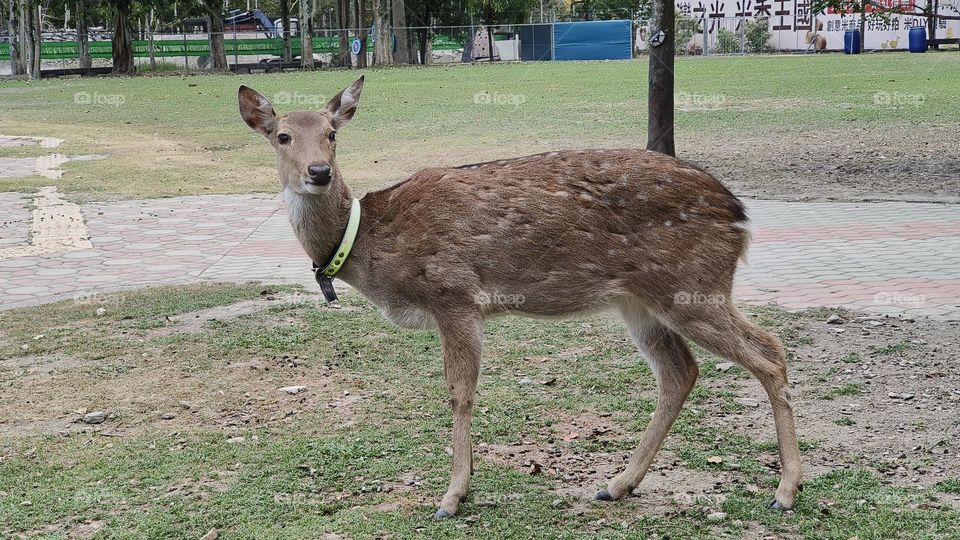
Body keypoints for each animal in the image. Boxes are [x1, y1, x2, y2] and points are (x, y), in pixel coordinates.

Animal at [238, 75, 802, 519]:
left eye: (332, 134)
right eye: (282, 136)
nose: (318, 172)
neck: (370, 243)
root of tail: (740, 214)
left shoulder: (456, 295)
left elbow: (459, 392)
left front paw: (452, 497)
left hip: (694, 285)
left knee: (769, 352)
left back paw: (785, 491)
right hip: (641, 301)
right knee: (680, 370)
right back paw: (618, 484)